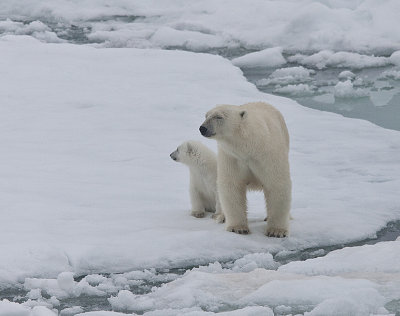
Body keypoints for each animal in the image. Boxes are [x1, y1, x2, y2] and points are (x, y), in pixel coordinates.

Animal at [199, 101, 290, 237]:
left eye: (219, 117)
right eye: (206, 115)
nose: (202, 128)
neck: (249, 146)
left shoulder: (268, 154)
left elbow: (276, 183)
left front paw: (276, 231)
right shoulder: (231, 157)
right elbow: (232, 186)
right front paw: (238, 228)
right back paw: (222, 217)